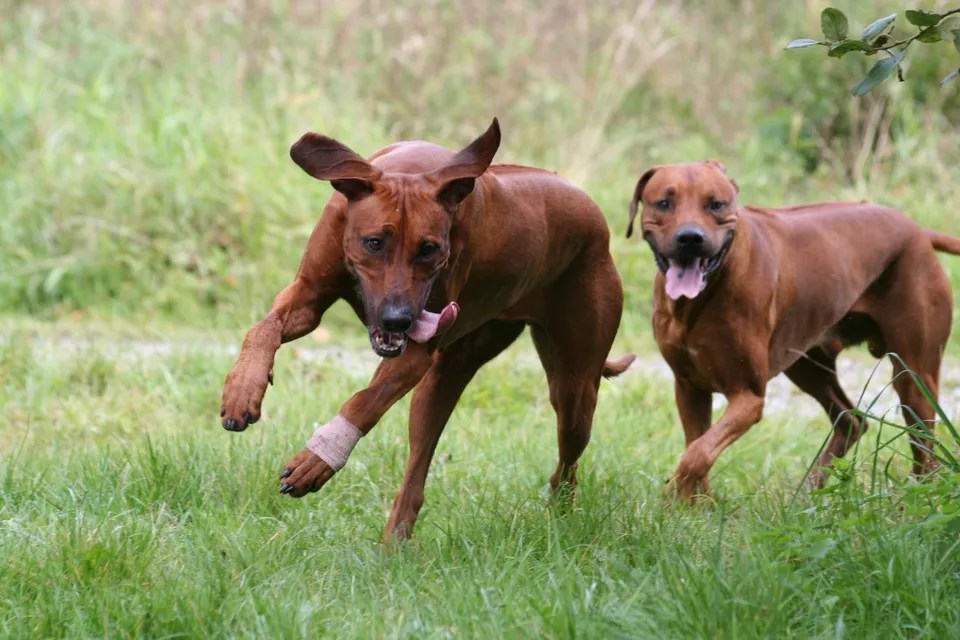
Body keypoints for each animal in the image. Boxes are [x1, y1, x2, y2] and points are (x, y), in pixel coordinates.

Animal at [221, 119, 632, 540]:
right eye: (374, 243)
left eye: (429, 249)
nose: (399, 319)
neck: (408, 170)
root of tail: (595, 214)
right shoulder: (308, 295)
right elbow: (263, 328)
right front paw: (242, 389)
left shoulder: (416, 350)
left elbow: (366, 401)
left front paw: (314, 460)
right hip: (446, 377)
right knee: (418, 472)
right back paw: (394, 543)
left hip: (574, 388)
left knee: (568, 458)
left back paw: (559, 518)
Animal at [628, 160, 956, 496]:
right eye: (664, 203)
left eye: (716, 204)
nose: (690, 238)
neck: (698, 301)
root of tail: (917, 230)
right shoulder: (689, 387)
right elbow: (697, 448)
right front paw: (693, 503)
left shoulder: (749, 396)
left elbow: (697, 454)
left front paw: (673, 495)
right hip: (805, 364)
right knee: (851, 420)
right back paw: (810, 491)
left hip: (914, 374)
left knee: (925, 446)